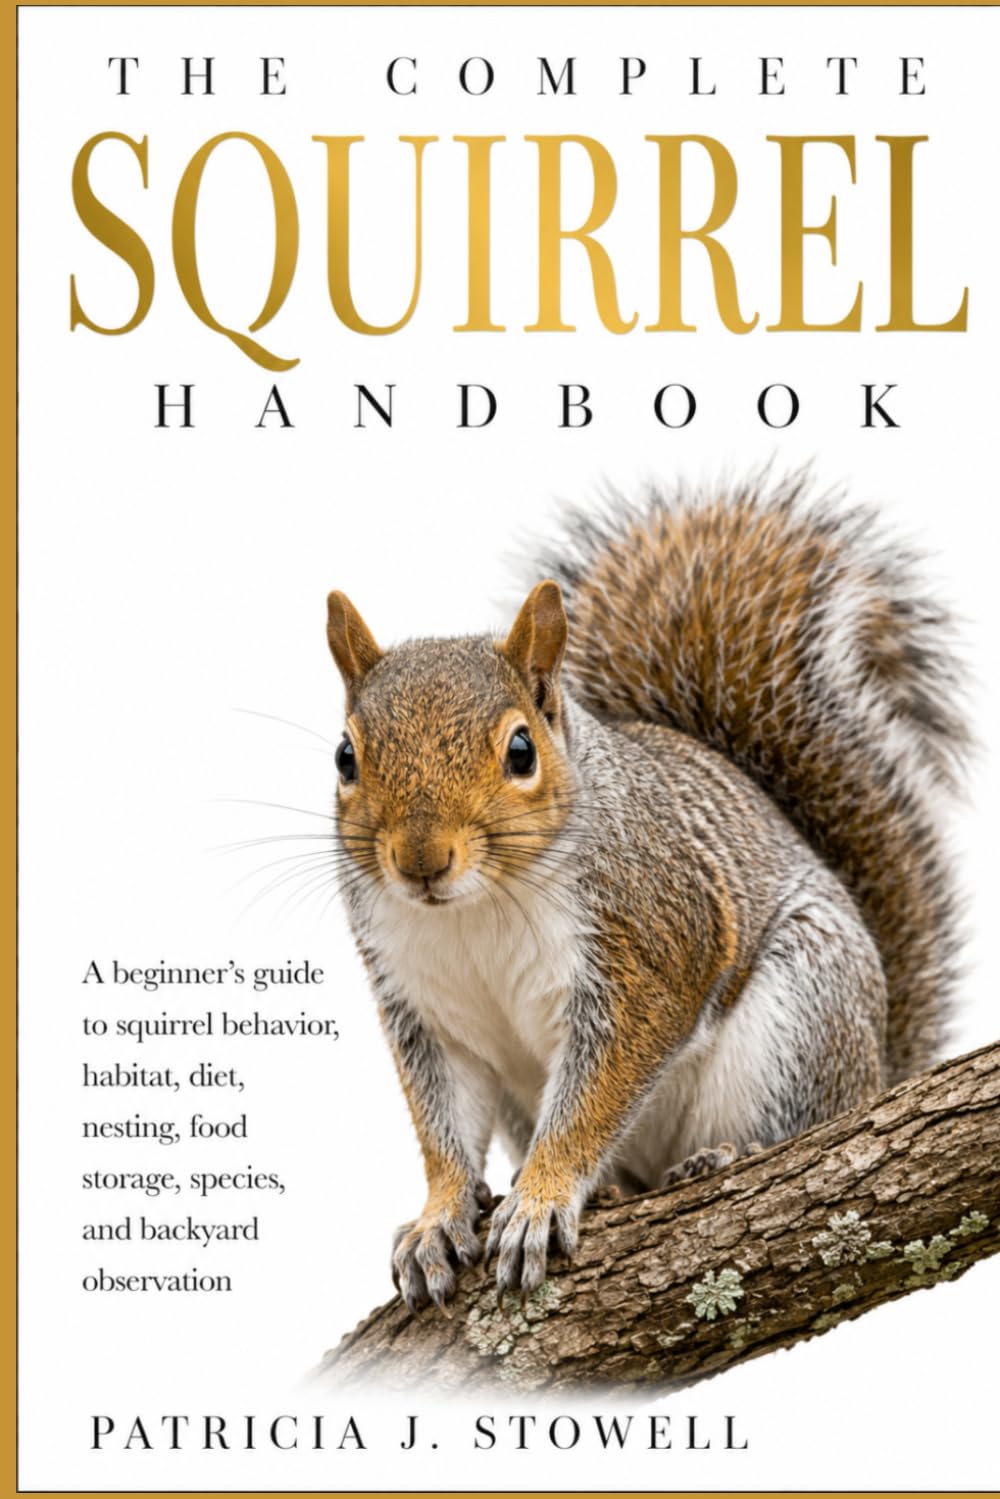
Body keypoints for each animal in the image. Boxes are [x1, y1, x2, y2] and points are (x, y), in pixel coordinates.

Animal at [324, 473, 967, 1311]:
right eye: (344, 757)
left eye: (522, 750)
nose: (420, 860)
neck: (475, 910)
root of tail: (876, 1073)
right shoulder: (424, 1007)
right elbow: (444, 1125)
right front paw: (439, 1216)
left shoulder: (650, 947)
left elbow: (598, 1094)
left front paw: (542, 1197)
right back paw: (615, 1190)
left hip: (801, 1018)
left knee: (794, 1124)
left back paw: (721, 1157)